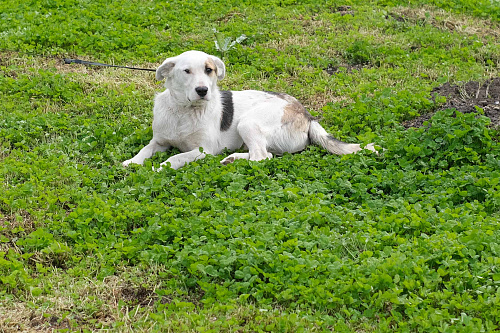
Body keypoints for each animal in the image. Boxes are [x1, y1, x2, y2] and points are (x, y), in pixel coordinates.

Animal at [123, 50, 376, 170]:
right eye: (186, 71)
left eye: (209, 70)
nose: (202, 90)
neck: (184, 112)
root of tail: (306, 115)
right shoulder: (159, 141)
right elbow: (145, 150)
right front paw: (132, 162)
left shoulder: (204, 150)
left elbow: (176, 157)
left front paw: (161, 167)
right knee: (267, 154)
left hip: (248, 122)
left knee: (261, 157)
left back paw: (232, 159)